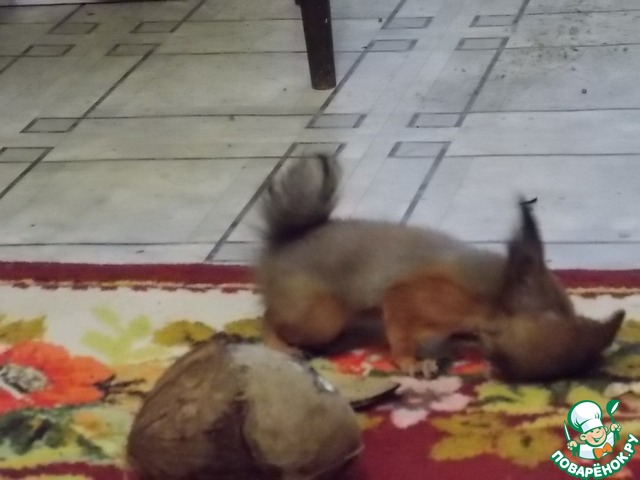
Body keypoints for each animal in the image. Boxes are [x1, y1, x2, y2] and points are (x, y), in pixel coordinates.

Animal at [255, 155, 624, 381]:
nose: (493, 368)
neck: (494, 292)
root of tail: (280, 247)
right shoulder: (415, 298)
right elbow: (401, 332)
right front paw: (412, 362)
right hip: (320, 318)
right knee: (270, 317)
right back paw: (280, 345)